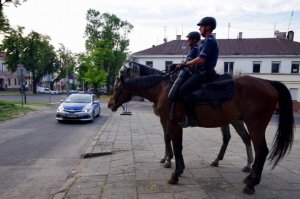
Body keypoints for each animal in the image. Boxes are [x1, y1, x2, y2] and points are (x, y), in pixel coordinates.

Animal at [120, 62, 253, 171]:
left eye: (122, 73)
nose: (117, 83)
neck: (162, 87)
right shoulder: (163, 120)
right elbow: (165, 137)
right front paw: (165, 158)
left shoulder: (166, 120)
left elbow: (167, 137)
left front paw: (168, 160)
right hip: (228, 120)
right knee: (232, 138)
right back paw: (222, 161)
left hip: (235, 120)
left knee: (244, 138)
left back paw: (248, 164)